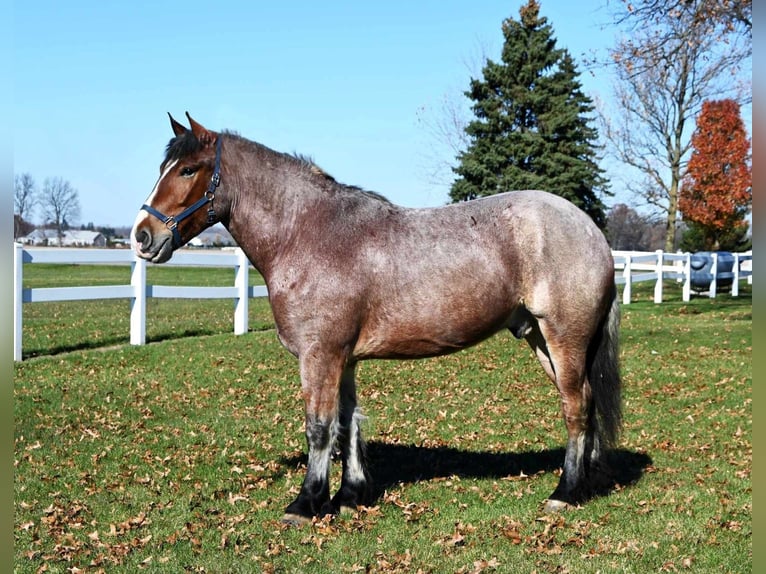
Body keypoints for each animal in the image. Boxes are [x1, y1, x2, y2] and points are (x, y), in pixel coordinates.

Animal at [132, 112, 624, 528]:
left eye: (188, 170)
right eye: (164, 167)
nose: (142, 236)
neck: (308, 234)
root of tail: (591, 231)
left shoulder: (320, 356)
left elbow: (319, 427)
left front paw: (306, 503)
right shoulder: (344, 358)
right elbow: (348, 423)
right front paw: (350, 496)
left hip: (564, 338)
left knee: (576, 407)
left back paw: (565, 492)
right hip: (542, 340)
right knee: (584, 403)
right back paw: (585, 483)